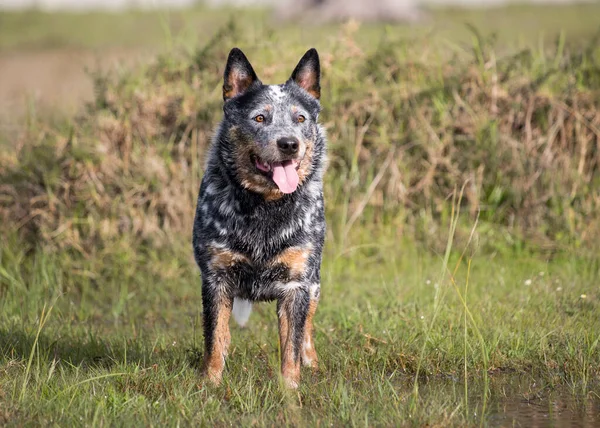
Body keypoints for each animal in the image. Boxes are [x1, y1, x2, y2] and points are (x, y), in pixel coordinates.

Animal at [192, 46, 326, 388]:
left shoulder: (297, 283)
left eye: (300, 118)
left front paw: (290, 389)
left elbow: (291, 345)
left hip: (315, 283)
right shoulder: (216, 279)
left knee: (307, 329)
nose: (289, 143)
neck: (265, 206)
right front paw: (210, 384)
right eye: (260, 118)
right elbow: (214, 338)